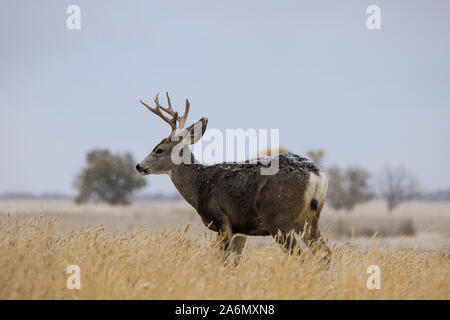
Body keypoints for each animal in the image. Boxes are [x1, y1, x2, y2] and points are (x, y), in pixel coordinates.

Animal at [135, 92, 328, 262]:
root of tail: (316, 174)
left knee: (299, 255)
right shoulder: (241, 228)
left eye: (159, 149)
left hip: (279, 219)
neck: (199, 183)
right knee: (325, 254)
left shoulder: (222, 220)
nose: (139, 166)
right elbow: (235, 262)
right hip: (308, 220)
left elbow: (224, 261)